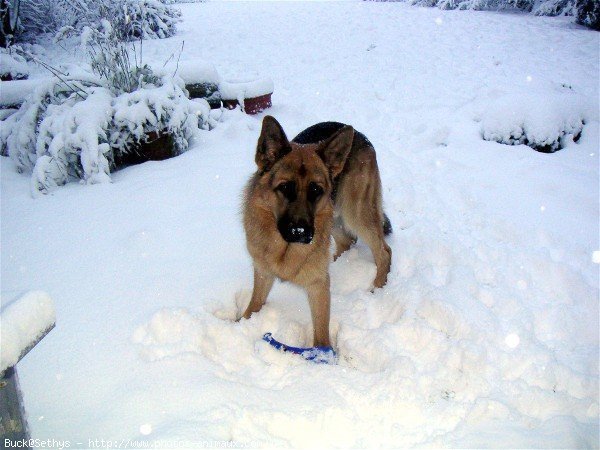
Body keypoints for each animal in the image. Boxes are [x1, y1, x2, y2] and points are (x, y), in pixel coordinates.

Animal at [241, 117, 392, 348]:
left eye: (315, 190)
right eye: (285, 188)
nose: (301, 232)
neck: (284, 248)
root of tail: (358, 133)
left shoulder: (318, 286)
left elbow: (321, 332)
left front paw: (322, 354)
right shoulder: (263, 271)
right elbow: (253, 305)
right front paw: (238, 325)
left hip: (354, 212)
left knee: (384, 251)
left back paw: (378, 287)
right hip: (334, 217)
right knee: (347, 241)